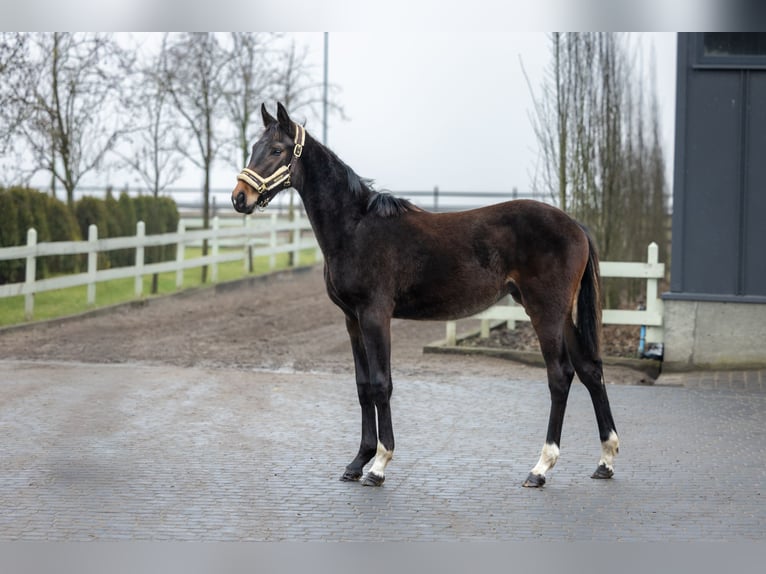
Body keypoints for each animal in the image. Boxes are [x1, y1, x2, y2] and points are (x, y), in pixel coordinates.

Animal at [231, 102, 619, 488]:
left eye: (276, 150)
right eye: (254, 147)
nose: (239, 198)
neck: (356, 227)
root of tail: (575, 224)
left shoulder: (375, 315)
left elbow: (381, 384)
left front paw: (379, 464)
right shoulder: (352, 320)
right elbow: (362, 386)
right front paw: (357, 462)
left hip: (545, 312)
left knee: (560, 375)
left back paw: (540, 468)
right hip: (560, 314)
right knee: (590, 370)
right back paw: (605, 460)